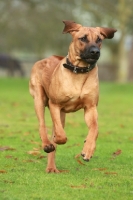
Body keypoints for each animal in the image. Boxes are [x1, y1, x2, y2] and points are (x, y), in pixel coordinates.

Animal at [29, 21, 116, 173]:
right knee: (42, 125)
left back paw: (52, 168)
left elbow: (95, 128)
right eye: (83, 38)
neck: (79, 71)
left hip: (61, 114)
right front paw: (58, 139)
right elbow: (60, 136)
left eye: (99, 39)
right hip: (39, 98)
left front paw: (88, 149)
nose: (95, 52)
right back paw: (47, 144)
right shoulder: (55, 105)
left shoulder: (90, 107)